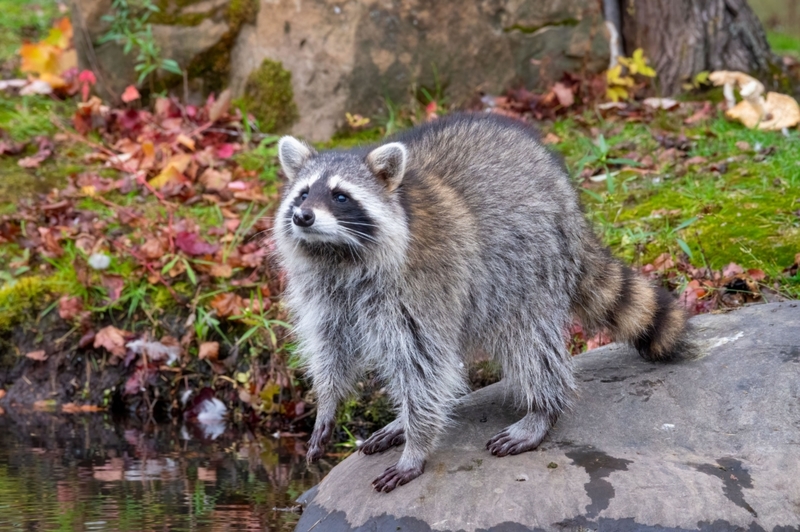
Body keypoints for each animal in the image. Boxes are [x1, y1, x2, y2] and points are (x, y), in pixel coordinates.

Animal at [272, 113, 692, 494]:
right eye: (303, 193)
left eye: (340, 196)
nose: (303, 216)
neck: (337, 254)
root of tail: (565, 191)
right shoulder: (327, 295)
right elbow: (332, 347)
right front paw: (328, 402)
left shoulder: (420, 283)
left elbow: (424, 367)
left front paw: (417, 446)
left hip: (531, 263)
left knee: (529, 340)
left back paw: (543, 407)